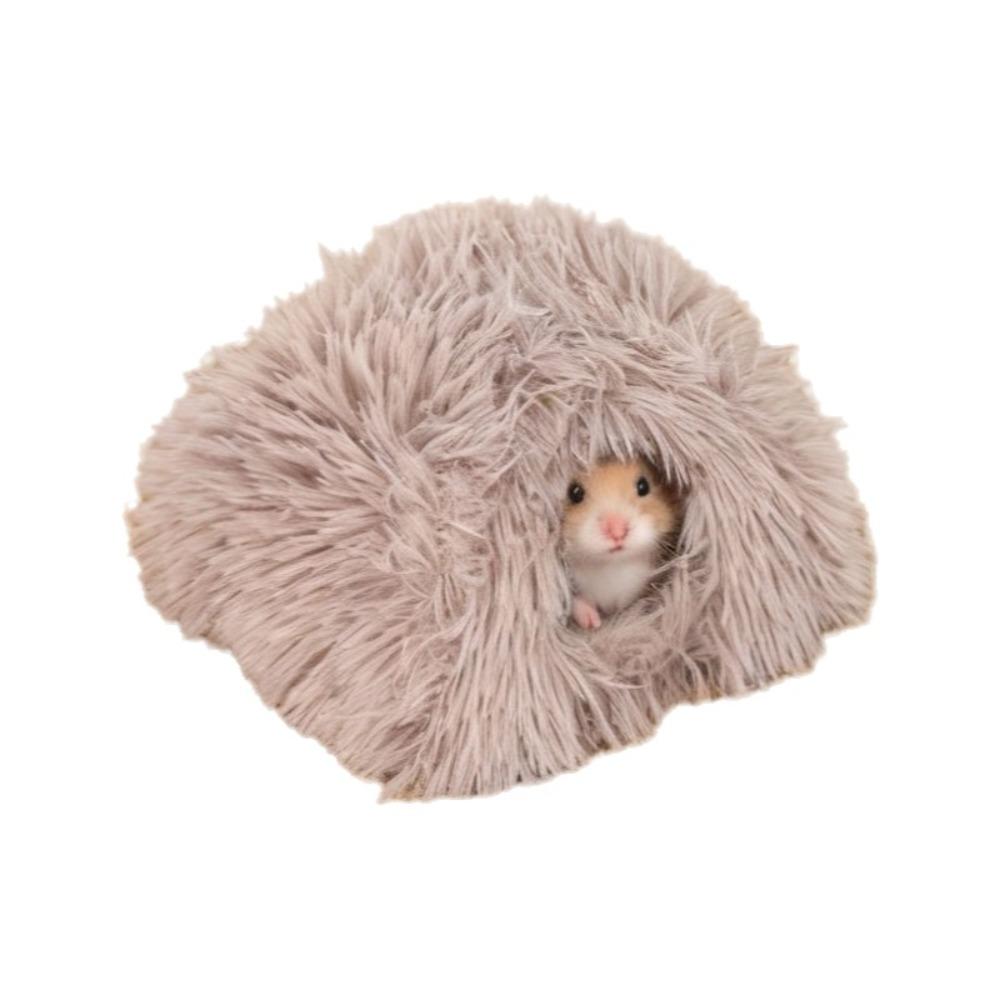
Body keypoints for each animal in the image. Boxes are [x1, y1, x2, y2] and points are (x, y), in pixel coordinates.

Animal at [561, 458, 677, 630]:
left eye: (643, 486)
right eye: (575, 493)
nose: (617, 532)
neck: (613, 565)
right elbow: (576, 601)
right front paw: (593, 623)